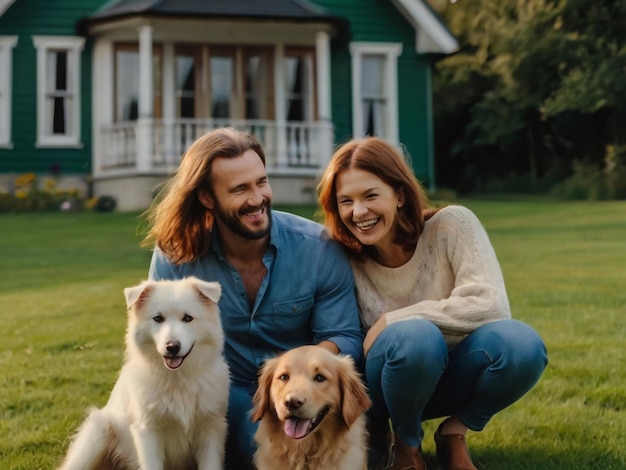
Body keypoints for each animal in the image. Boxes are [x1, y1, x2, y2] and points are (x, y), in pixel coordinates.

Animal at [58, 276, 229, 470]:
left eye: (188, 318)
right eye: (158, 318)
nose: (172, 347)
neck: (176, 379)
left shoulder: (211, 429)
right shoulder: (148, 431)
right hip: (97, 433)